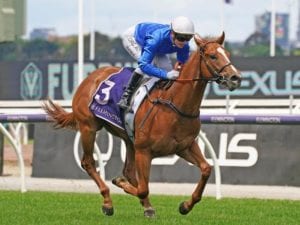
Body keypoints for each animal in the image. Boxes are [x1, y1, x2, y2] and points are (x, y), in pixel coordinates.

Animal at [44, 32, 241, 217]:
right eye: (212, 56)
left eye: (227, 54)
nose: (235, 77)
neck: (175, 104)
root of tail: (90, 77)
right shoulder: (144, 151)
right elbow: (143, 188)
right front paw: (124, 187)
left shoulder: (184, 146)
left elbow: (206, 169)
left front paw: (186, 205)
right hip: (88, 128)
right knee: (89, 162)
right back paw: (108, 202)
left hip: (129, 139)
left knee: (129, 171)